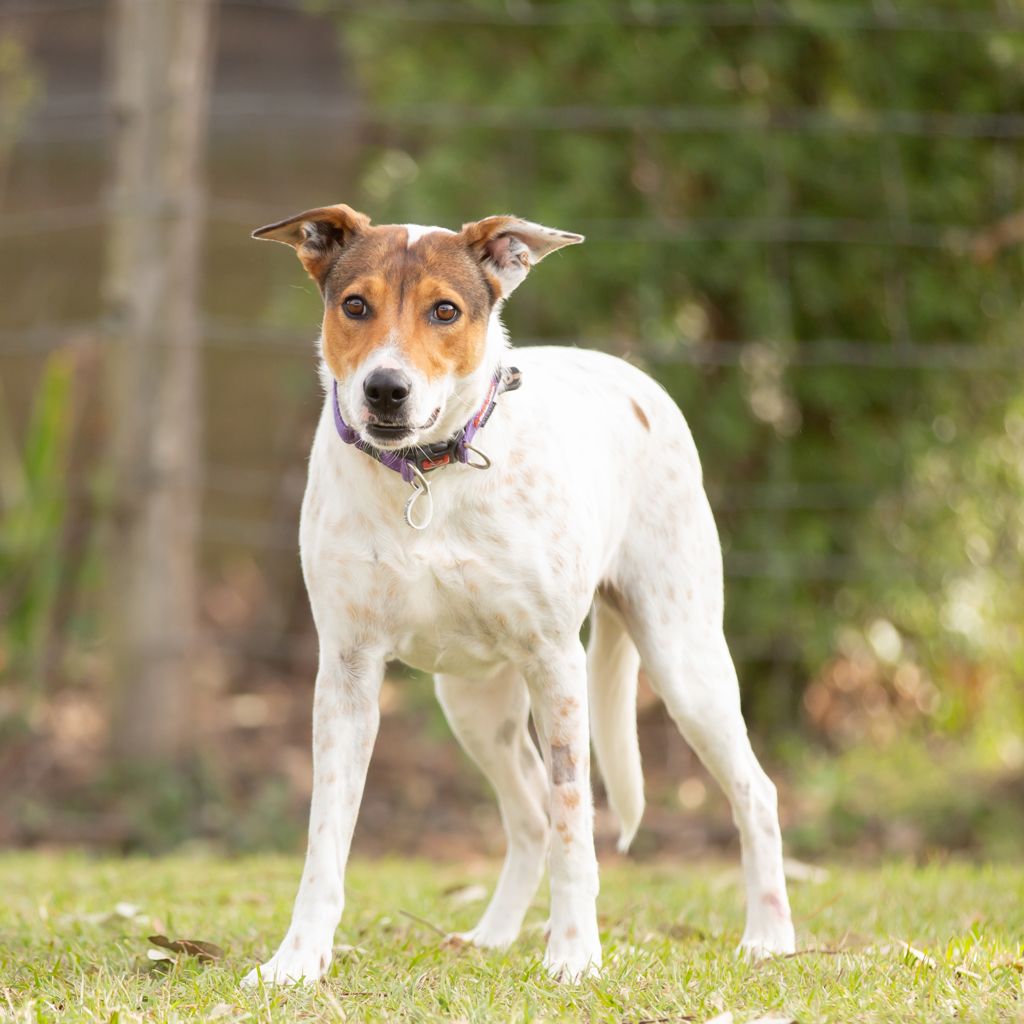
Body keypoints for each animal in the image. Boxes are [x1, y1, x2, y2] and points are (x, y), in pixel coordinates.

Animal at [241, 205, 795, 986]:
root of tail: (633, 378)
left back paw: (769, 936)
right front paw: (296, 963)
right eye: (355, 306)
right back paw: (492, 937)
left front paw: (575, 954)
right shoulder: (346, 673)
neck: (428, 476)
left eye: (445, 310)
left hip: (684, 661)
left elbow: (574, 822)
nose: (385, 389)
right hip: (475, 704)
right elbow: (327, 838)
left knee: (753, 791)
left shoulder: (555, 663)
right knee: (527, 812)